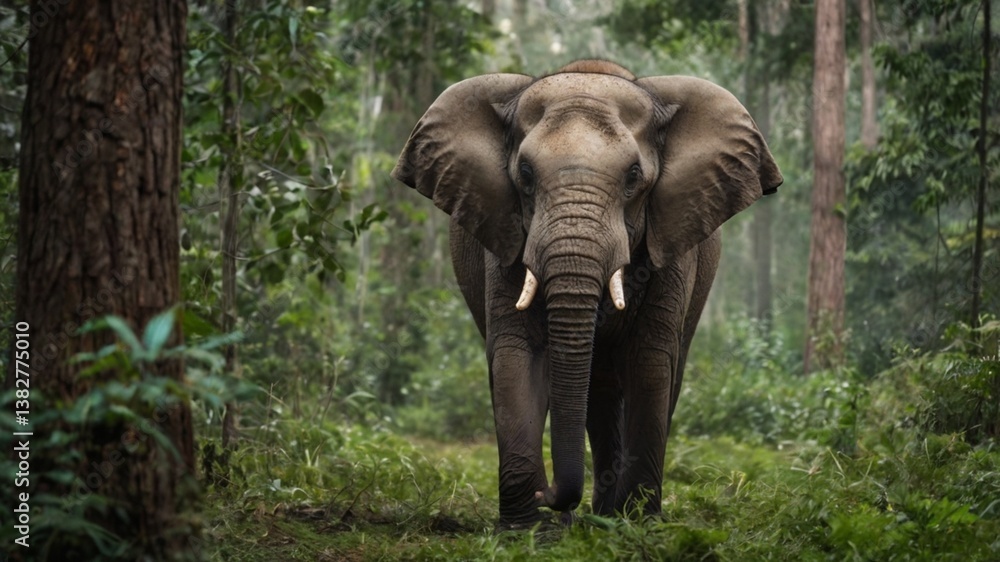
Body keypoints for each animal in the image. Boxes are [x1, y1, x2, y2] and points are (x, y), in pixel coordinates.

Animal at [391, 60, 782, 527]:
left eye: (634, 176)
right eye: (525, 175)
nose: (548, 494)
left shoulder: (671, 241)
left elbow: (650, 361)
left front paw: (638, 524)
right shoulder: (504, 235)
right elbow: (518, 354)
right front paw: (525, 528)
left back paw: (610, 516)